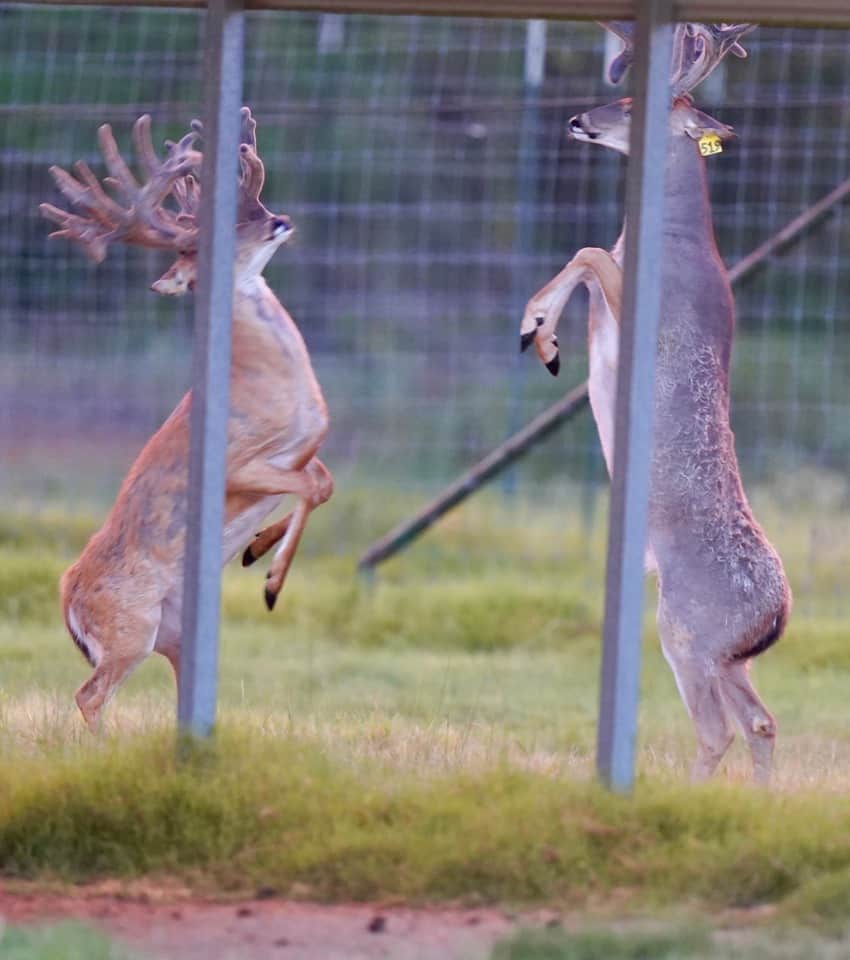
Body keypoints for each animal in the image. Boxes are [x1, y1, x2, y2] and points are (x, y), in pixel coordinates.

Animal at [40, 108, 333, 730]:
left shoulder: (303, 450)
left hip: (171, 638)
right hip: (130, 630)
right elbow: (311, 486)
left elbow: (322, 481)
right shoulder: (238, 463)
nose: (280, 221)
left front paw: (257, 551)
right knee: (88, 694)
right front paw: (270, 580)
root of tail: (67, 597)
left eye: (254, 209)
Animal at [519, 25, 791, 784]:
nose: (577, 120)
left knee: (718, 728)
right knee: (761, 721)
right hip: (723, 652)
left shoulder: (636, 301)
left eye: (632, 104)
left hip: (686, 629)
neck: (671, 244)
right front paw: (545, 334)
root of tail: (777, 614)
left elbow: (586, 252)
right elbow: (587, 254)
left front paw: (539, 332)